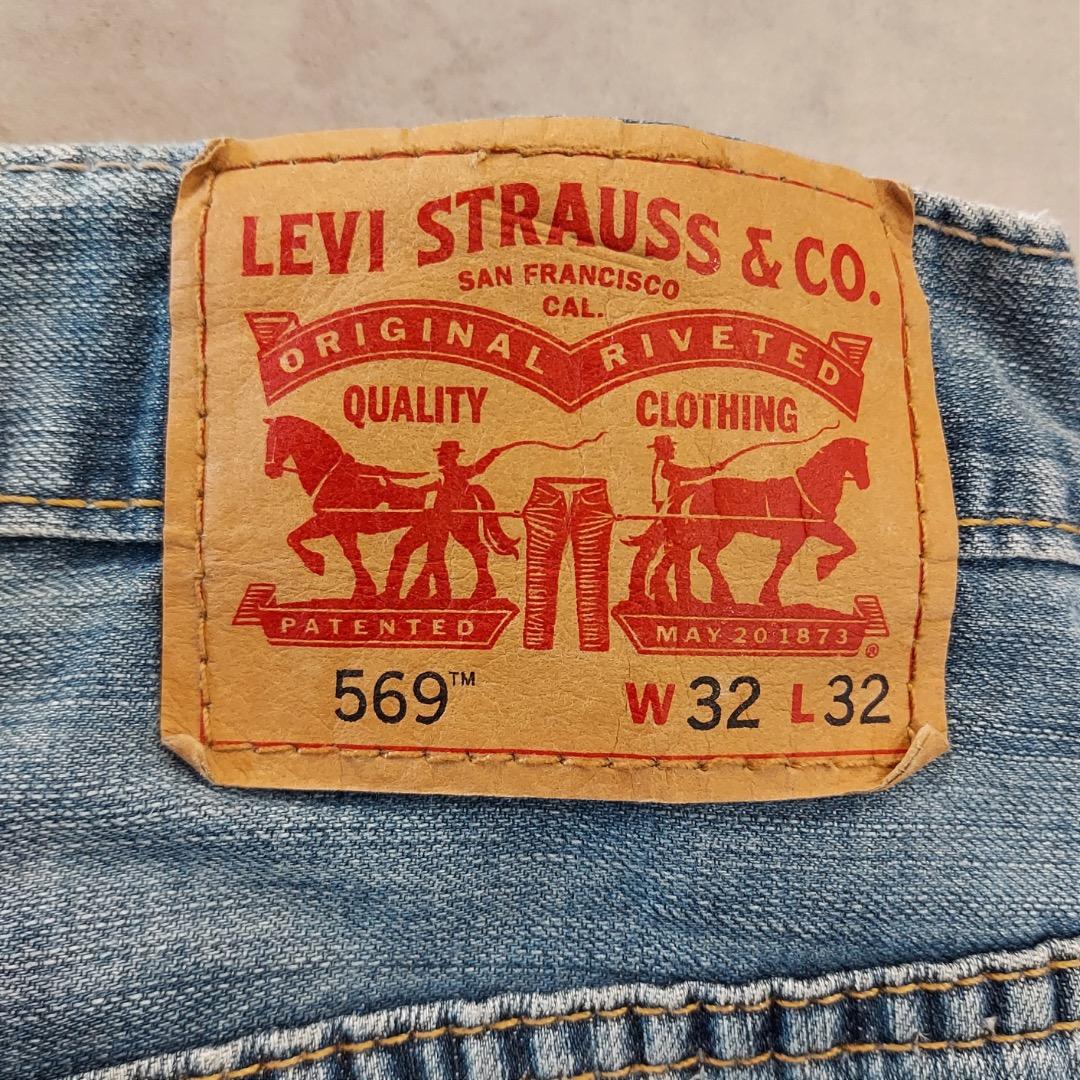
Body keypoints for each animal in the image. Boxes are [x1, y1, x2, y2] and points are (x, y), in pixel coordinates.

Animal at [624, 437, 870, 610]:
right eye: (861, 457)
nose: (866, 483)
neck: (811, 486)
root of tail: (695, 488)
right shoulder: (799, 535)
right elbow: (787, 561)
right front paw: (819, 570)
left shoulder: (817, 529)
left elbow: (848, 545)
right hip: (703, 531)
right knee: (691, 553)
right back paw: (715, 597)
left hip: (720, 533)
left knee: (686, 553)